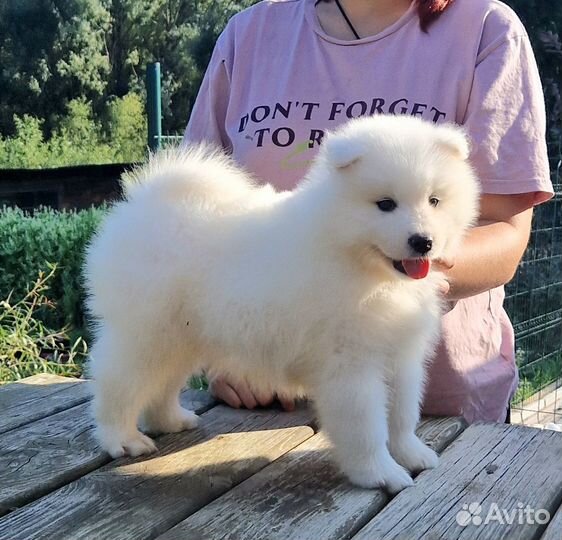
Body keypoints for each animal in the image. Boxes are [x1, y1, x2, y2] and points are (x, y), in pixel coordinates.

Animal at [84, 115, 476, 494]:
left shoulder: (401, 357)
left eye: (434, 201)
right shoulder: (351, 365)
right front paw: (379, 473)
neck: (361, 265)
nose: (422, 241)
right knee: (119, 383)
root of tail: (146, 202)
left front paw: (410, 453)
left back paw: (170, 420)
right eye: (385, 204)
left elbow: (401, 414)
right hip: (147, 333)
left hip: (181, 337)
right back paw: (122, 439)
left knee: (161, 385)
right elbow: (367, 427)